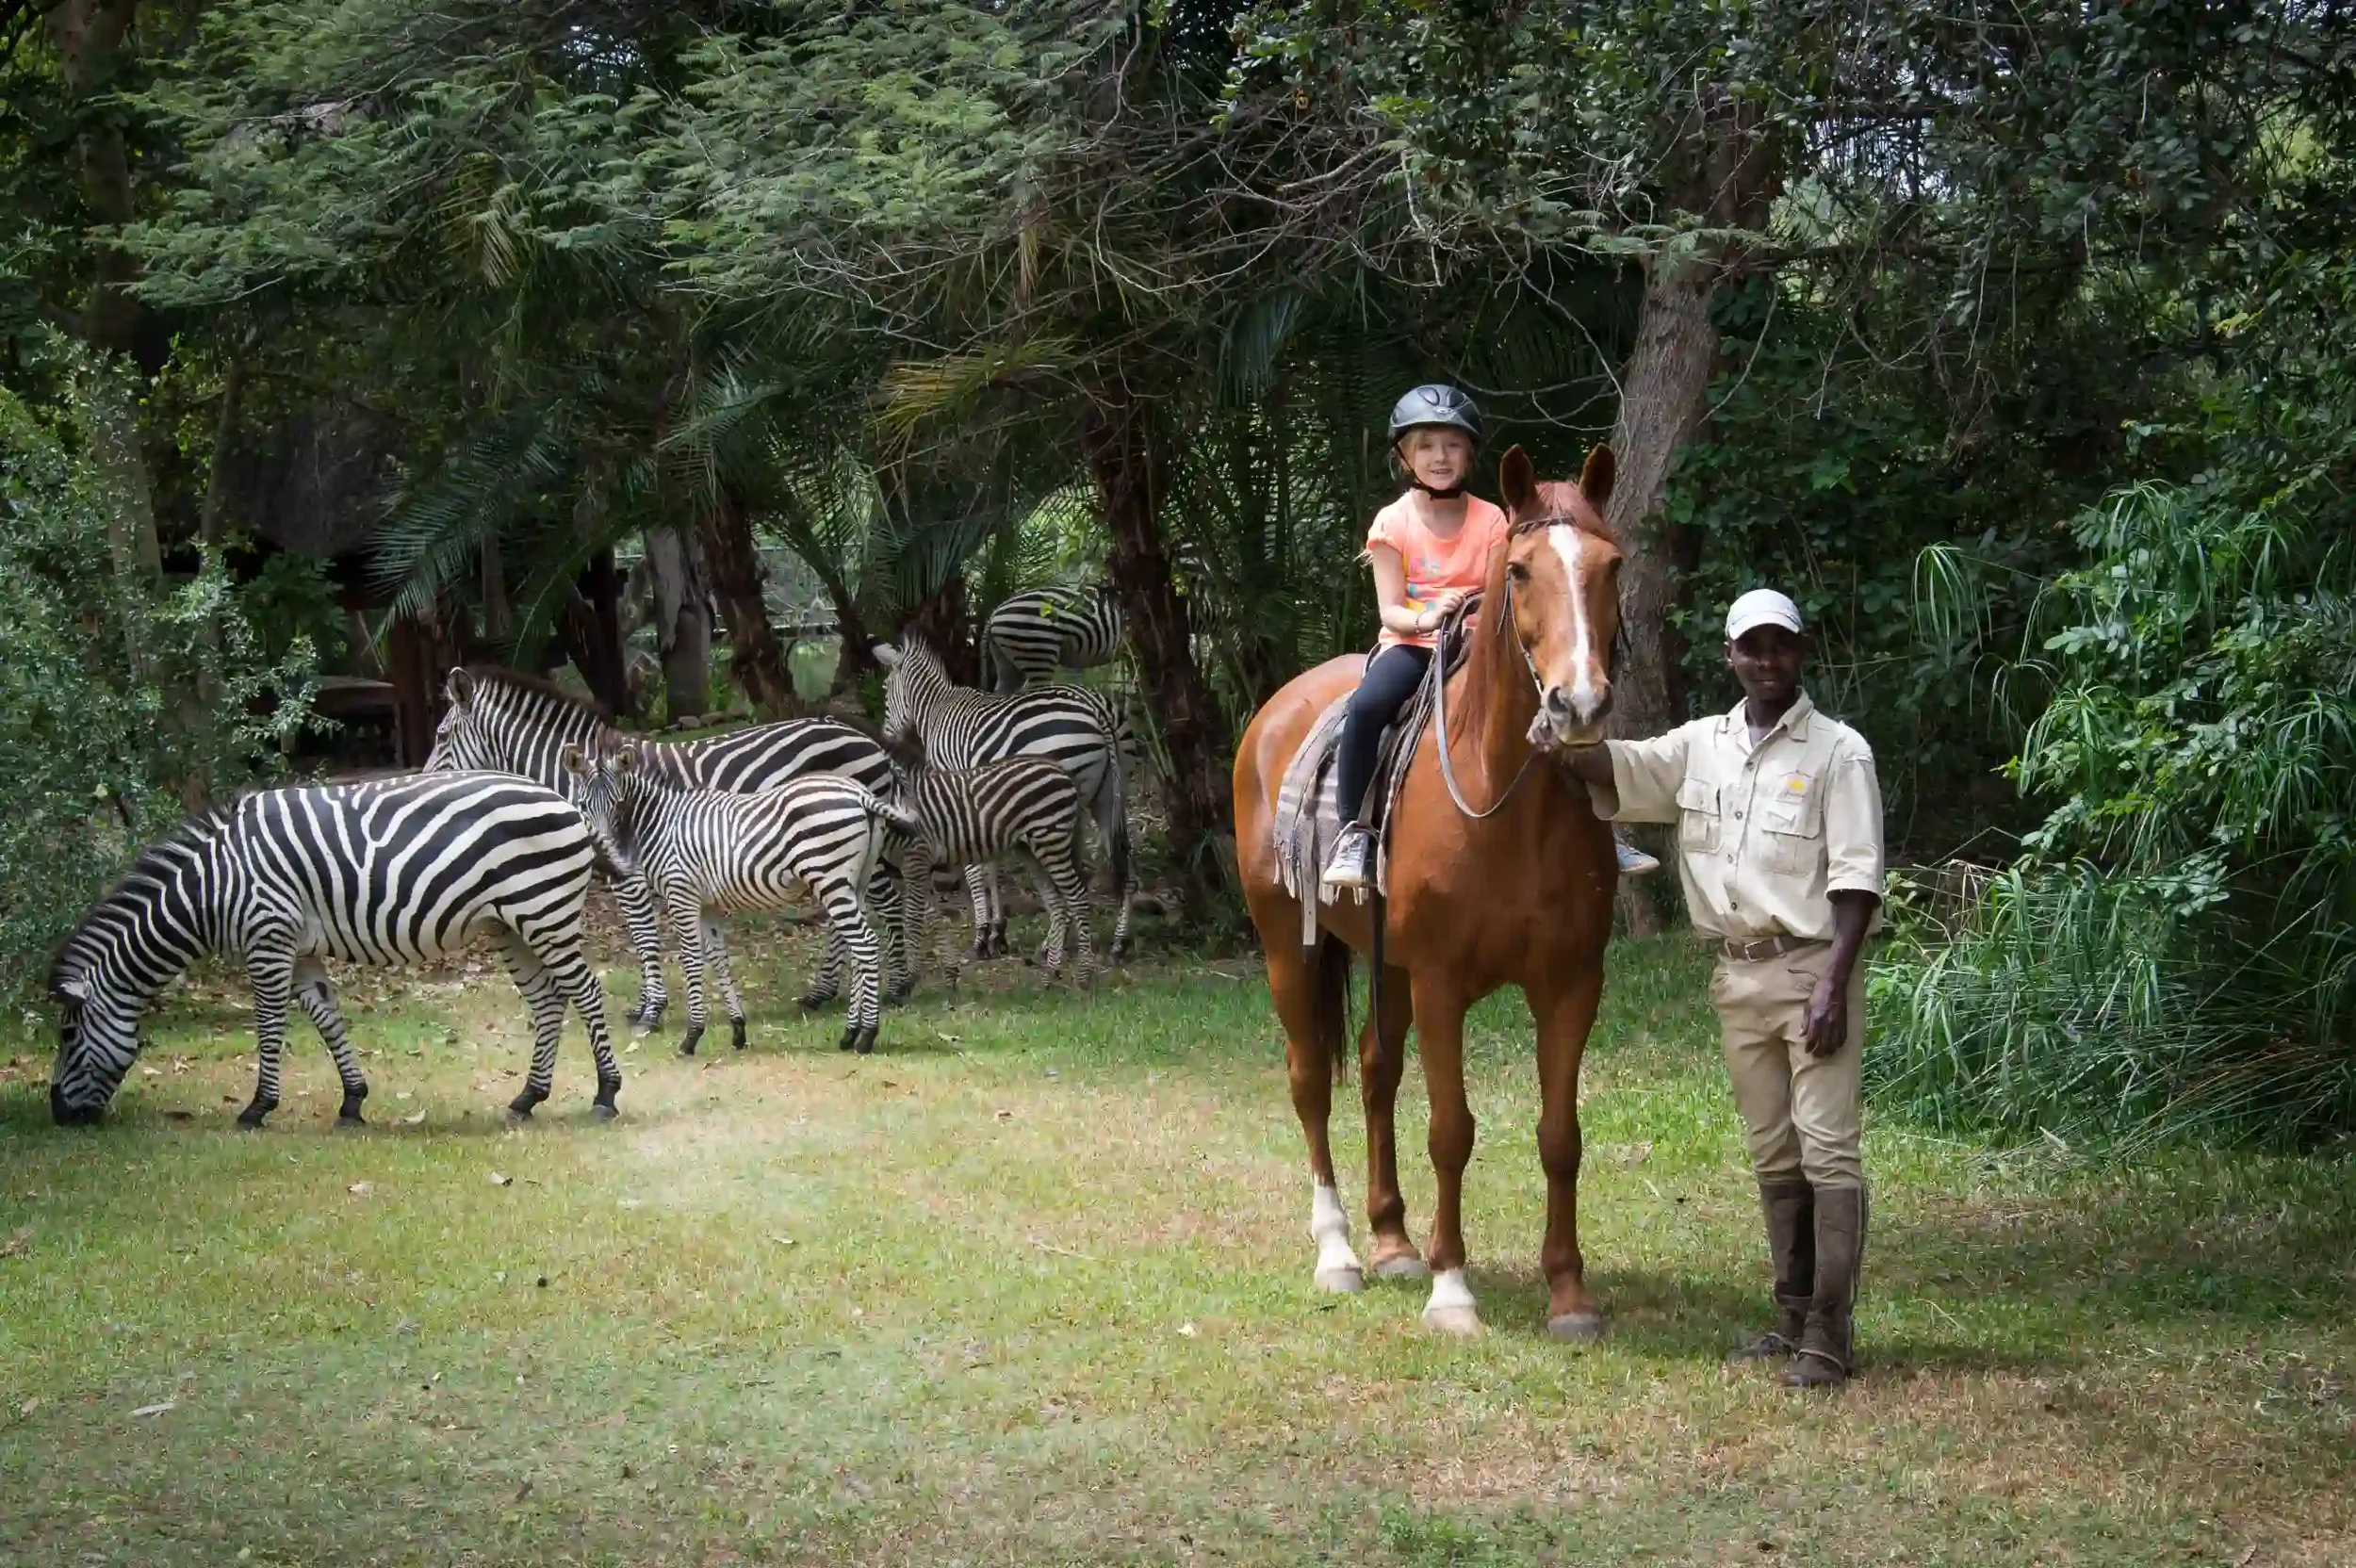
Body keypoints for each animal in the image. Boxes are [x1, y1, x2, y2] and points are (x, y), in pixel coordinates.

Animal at [1232, 443, 1625, 1339]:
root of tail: (1274, 710)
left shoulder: (1572, 983)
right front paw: (1453, 1291)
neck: (1508, 804)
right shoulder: (1443, 982)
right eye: (1519, 570)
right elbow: (1451, 1130)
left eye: (1612, 565)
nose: (1579, 704)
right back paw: (1340, 1252)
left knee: (1376, 1069)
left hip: (1389, 963)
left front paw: (1569, 1294)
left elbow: (1561, 1135)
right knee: (1312, 1081)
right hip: (1286, 947)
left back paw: (1392, 1241)